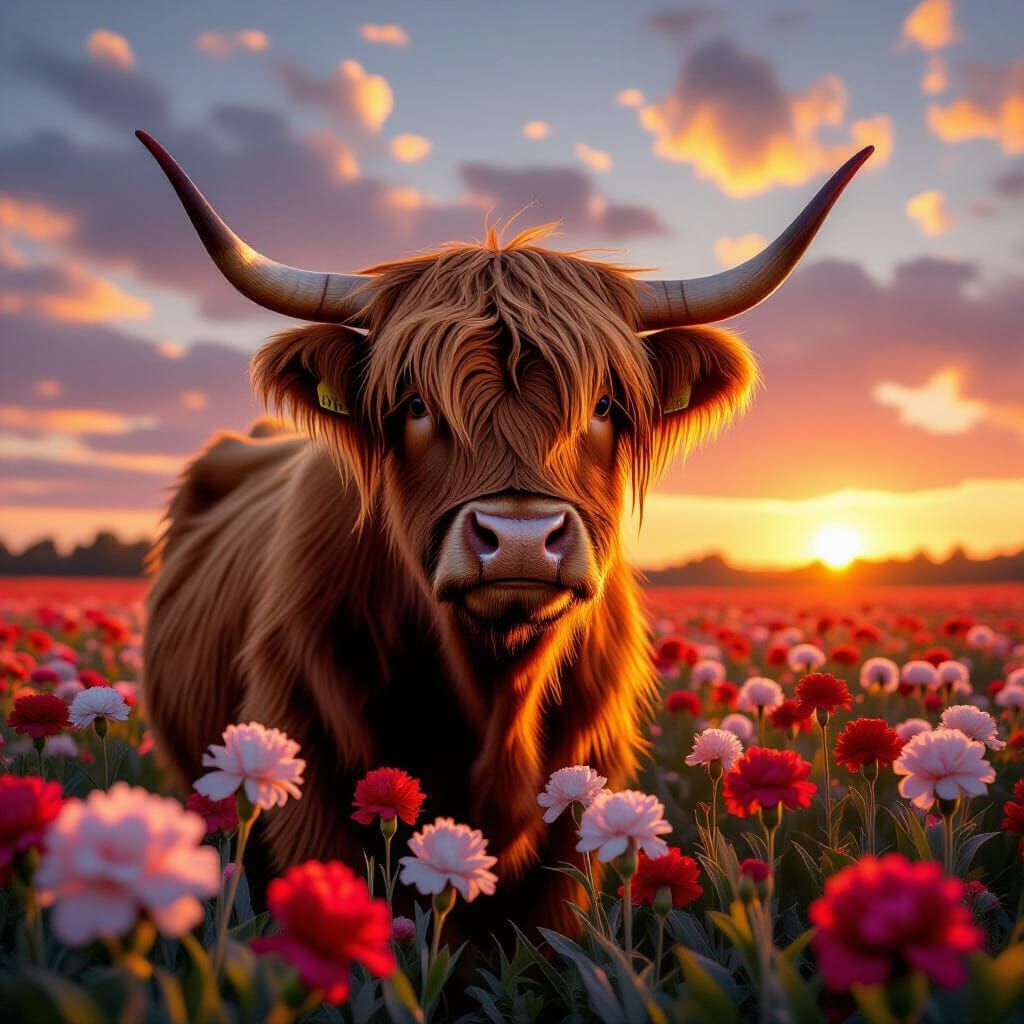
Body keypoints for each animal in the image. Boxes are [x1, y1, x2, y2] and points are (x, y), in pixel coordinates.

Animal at [137, 130, 871, 932]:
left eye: (604, 404)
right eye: (415, 404)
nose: (520, 539)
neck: (495, 691)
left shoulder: (578, 819)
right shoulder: (314, 791)